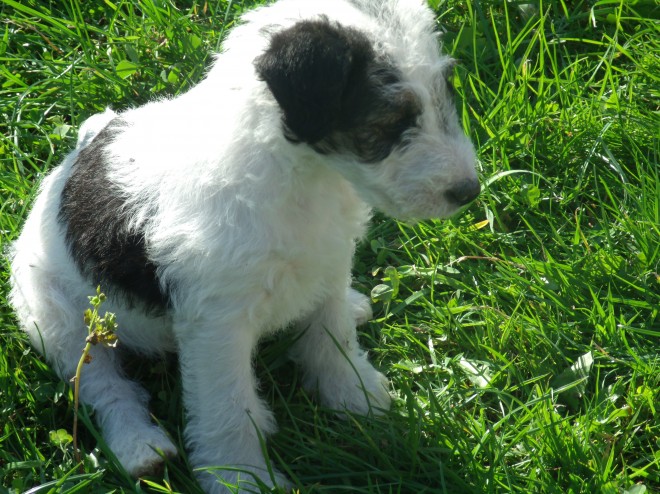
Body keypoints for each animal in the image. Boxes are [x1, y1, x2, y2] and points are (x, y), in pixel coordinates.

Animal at [6, 0, 480, 490]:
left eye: (444, 92)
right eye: (392, 120)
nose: (469, 191)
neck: (298, 174)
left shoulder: (329, 263)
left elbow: (333, 339)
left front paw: (357, 398)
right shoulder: (217, 324)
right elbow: (228, 409)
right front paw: (242, 478)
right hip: (56, 316)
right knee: (103, 385)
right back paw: (140, 447)